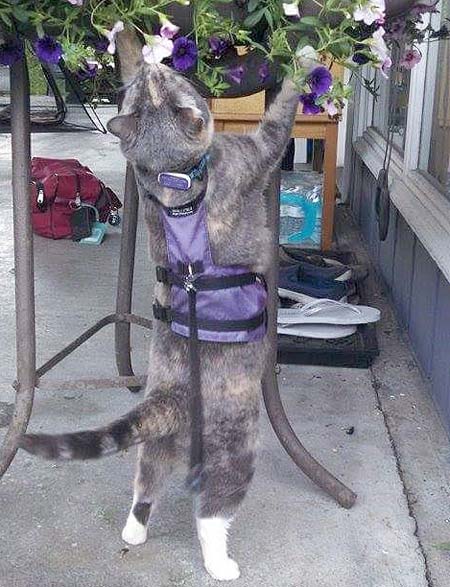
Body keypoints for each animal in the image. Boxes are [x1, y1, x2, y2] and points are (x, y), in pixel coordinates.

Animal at [19, 29, 300, 580]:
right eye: (175, 83)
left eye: (157, 83)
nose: (158, 63)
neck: (174, 178)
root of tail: (169, 399)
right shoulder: (252, 153)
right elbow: (279, 117)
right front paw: (306, 60)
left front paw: (128, 38)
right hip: (235, 449)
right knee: (211, 512)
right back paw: (220, 562)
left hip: (157, 446)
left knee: (145, 484)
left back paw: (134, 530)